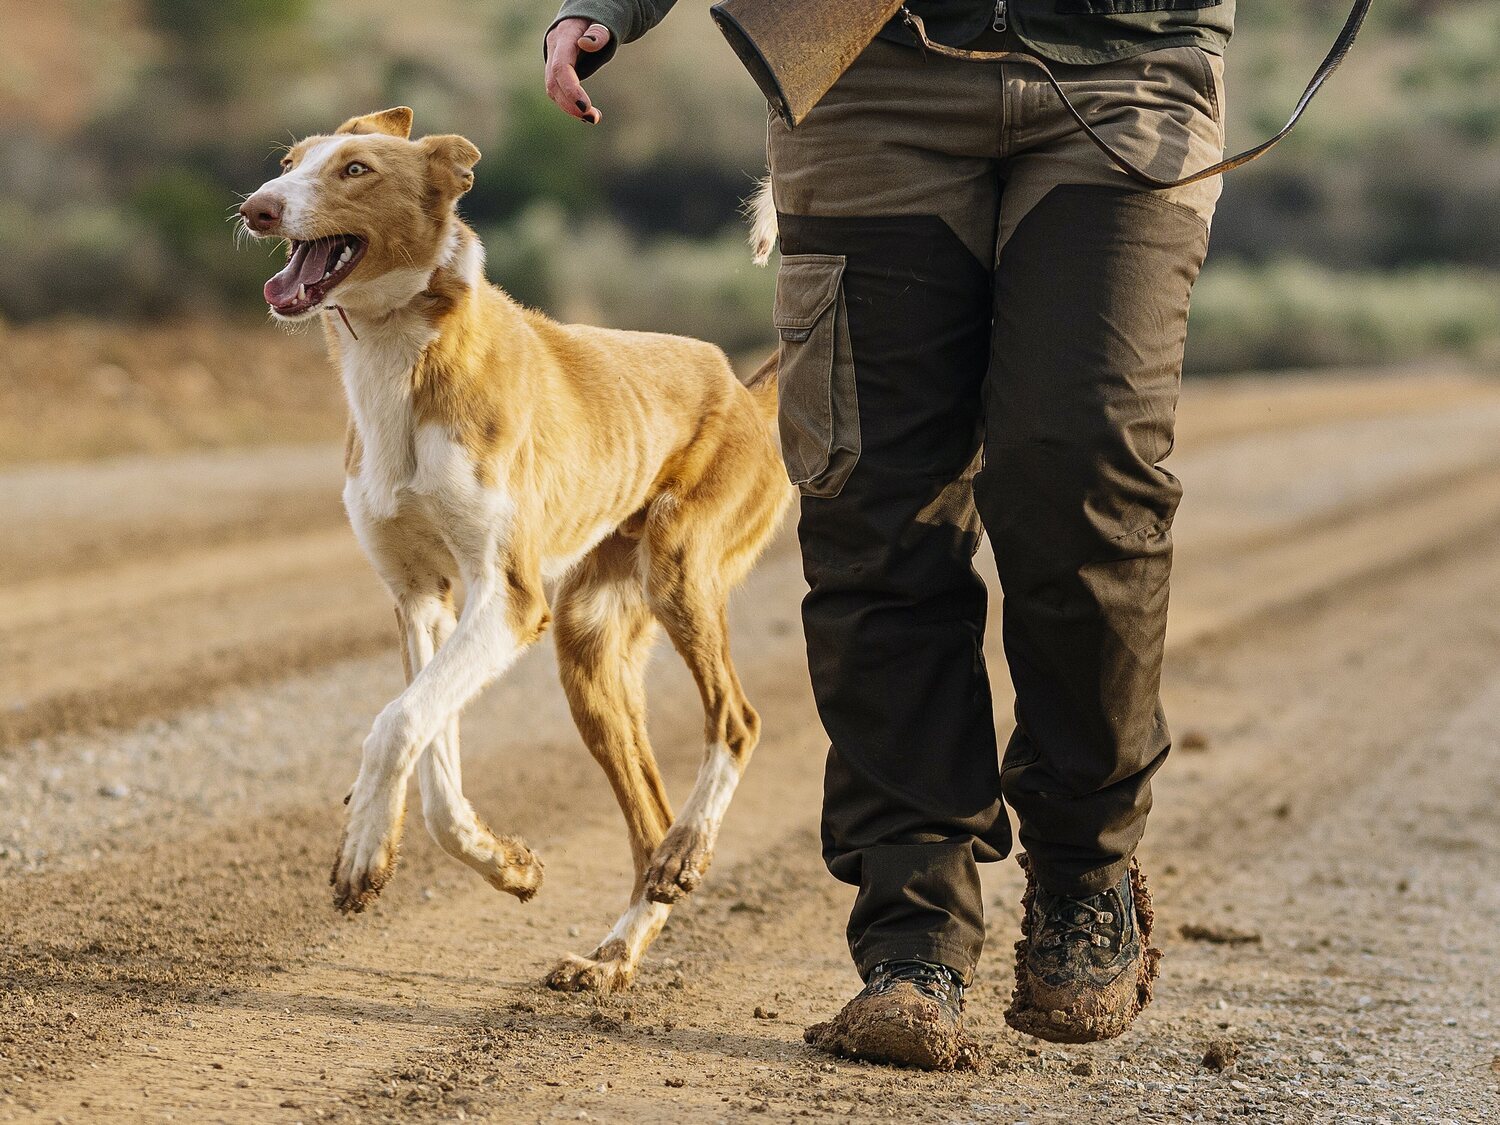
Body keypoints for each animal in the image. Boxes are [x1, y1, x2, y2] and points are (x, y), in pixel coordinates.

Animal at [234, 110, 792, 996]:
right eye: (290, 162)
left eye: (355, 169)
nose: (256, 207)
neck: (398, 356)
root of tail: (742, 385)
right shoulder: (423, 596)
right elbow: (432, 759)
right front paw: (502, 862)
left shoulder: (509, 598)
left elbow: (397, 721)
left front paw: (362, 851)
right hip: (589, 643)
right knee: (647, 817)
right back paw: (613, 953)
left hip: (677, 567)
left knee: (736, 720)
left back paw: (687, 852)